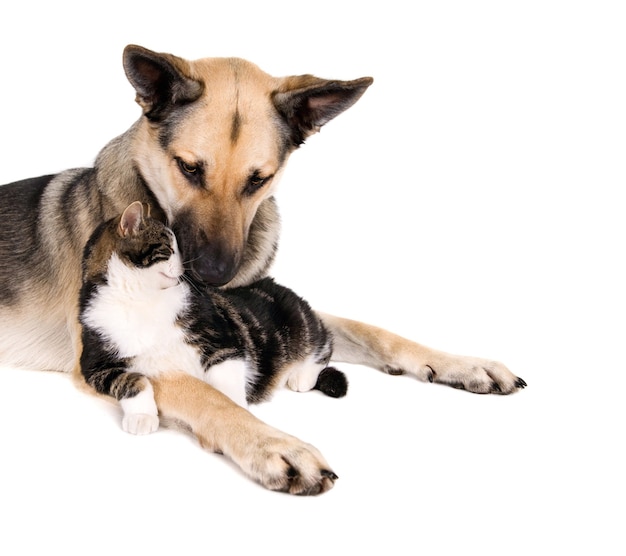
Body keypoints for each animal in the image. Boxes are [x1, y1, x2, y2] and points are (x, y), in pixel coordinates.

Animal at [78, 200, 346, 434]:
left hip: (299, 321)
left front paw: (237, 412)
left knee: (324, 342)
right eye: (168, 249)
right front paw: (142, 416)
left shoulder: (222, 339)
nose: (186, 266)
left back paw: (303, 375)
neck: (140, 297)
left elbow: (227, 376)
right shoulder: (95, 363)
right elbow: (132, 381)